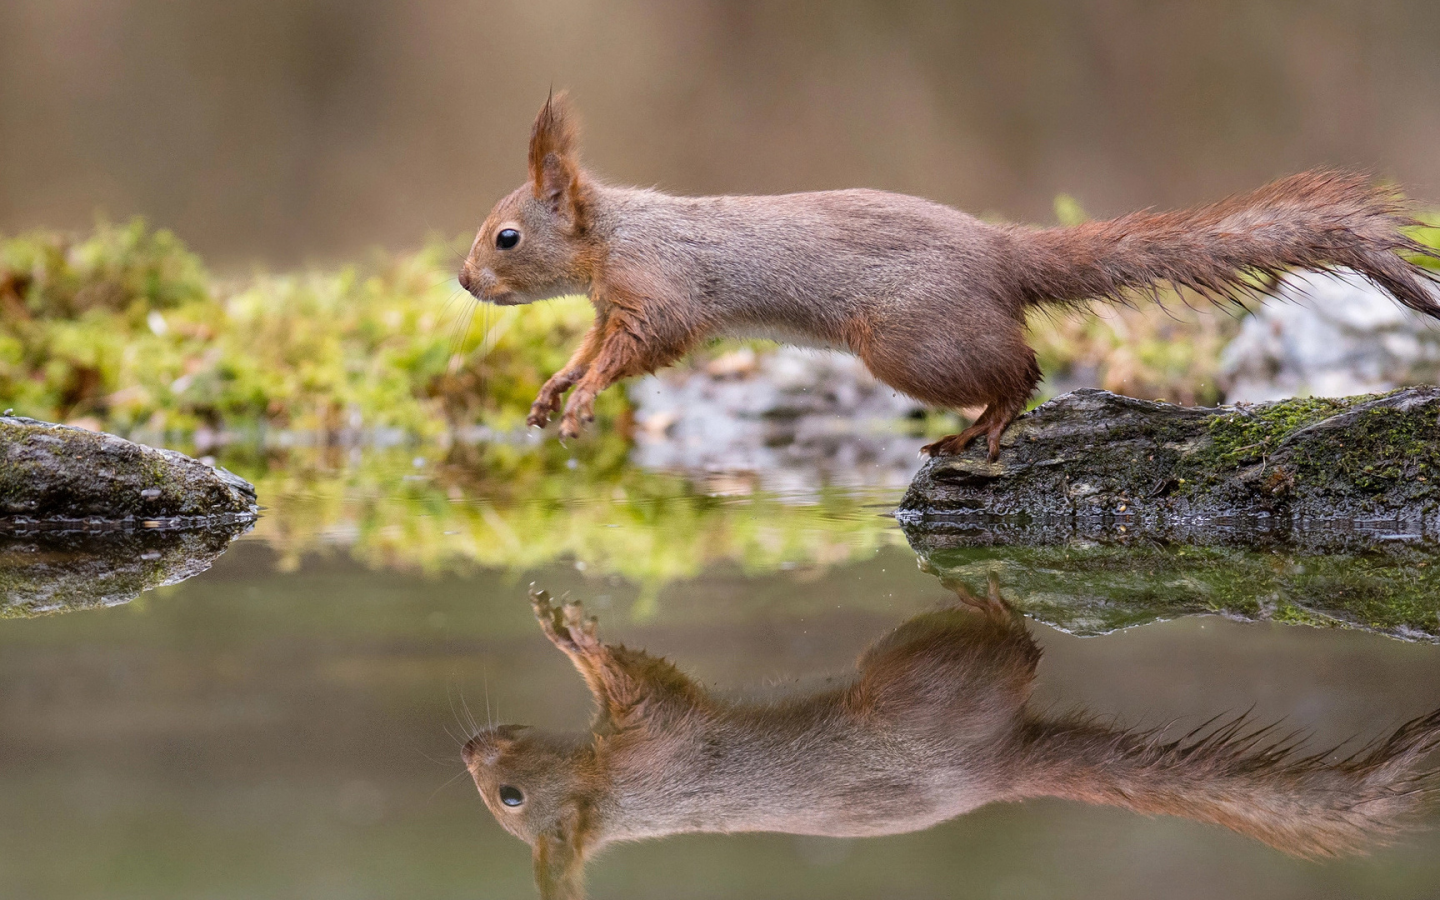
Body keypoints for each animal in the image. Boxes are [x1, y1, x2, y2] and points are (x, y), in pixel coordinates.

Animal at [457, 92, 1440, 455]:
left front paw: (583, 404)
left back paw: (986, 426)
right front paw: (554, 391)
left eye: (506, 237)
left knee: (1025, 370)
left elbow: (642, 349)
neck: (616, 236)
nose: (465, 283)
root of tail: (996, 253)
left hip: (908, 343)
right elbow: (588, 348)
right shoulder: (609, 306)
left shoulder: (662, 292)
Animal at [463, 587, 1440, 892]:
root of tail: (1001, 765)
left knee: (1014, 648)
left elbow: (637, 680)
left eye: (510, 800)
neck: (620, 794)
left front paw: (572, 638)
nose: (467, 750)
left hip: (916, 683)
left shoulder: (660, 741)